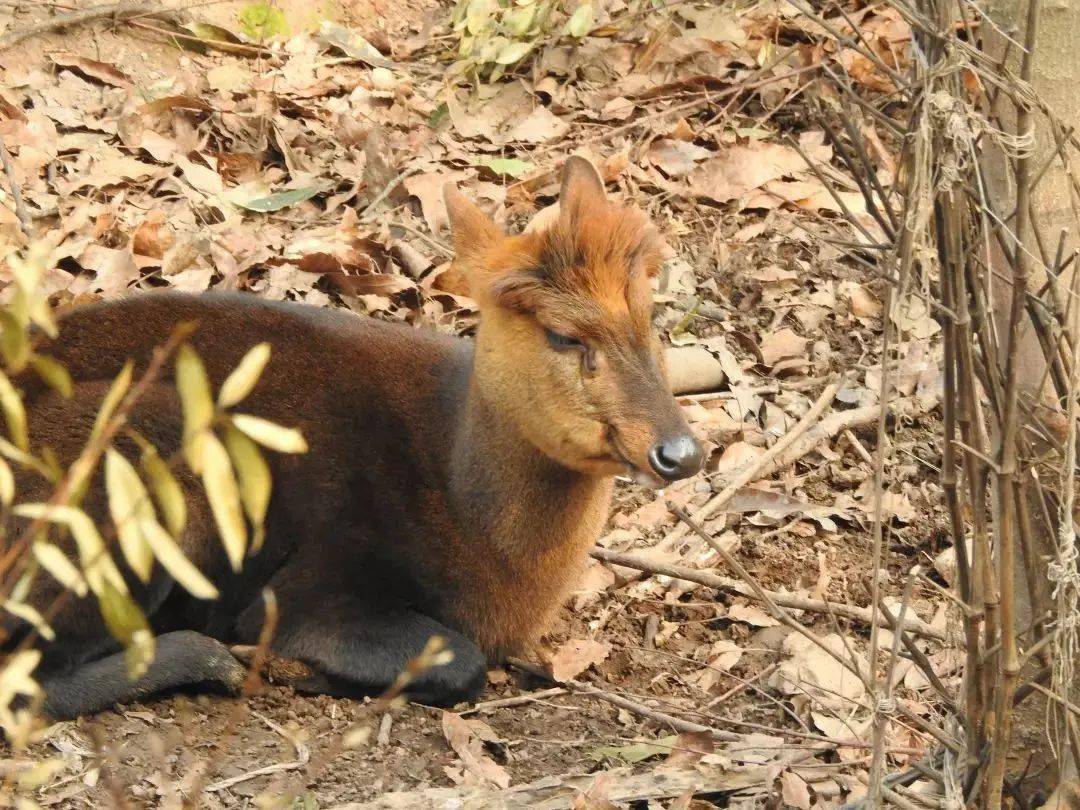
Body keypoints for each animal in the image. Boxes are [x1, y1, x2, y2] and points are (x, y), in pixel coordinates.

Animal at [6, 155, 708, 721]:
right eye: (563, 335)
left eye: (650, 316)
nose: (680, 453)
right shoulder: (311, 582)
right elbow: (461, 661)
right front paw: (296, 669)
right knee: (32, 680)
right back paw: (215, 660)